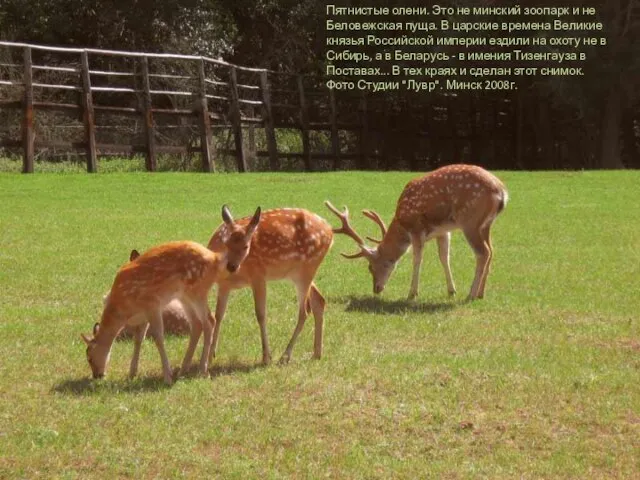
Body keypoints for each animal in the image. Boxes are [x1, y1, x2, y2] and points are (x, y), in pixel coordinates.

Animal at [81, 204, 262, 384]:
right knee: (198, 323)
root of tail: (215, 259)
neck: (122, 310)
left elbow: (158, 338)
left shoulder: (152, 303)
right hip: (185, 296)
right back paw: (184, 370)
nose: (97, 375)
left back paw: (202, 370)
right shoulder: (141, 316)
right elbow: (138, 339)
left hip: (197, 290)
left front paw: (167, 376)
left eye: (89, 356)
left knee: (210, 320)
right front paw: (132, 373)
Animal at [208, 206, 336, 364]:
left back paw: (285, 356)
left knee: (304, 311)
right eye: (226, 243)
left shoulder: (258, 276)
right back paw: (317, 353)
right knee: (319, 300)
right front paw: (211, 355)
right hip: (297, 273)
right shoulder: (223, 285)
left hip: (308, 268)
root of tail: (330, 231)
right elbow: (218, 315)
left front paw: (266, 357)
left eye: (246, 246)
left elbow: (261, 314)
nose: (231, 266)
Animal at [328, 165, 508, 300]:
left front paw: (412, 293)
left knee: (483, 252)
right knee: (491, 251)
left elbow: (417, 259)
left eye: (370, 267)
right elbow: (444, 258)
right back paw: (481, 293)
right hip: (486, 225)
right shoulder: (443, 231)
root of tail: (502, 192)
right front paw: (451, 290)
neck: (402, 224)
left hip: (470, 222)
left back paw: (471, 294)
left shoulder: (415, 228)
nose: (376, 289)